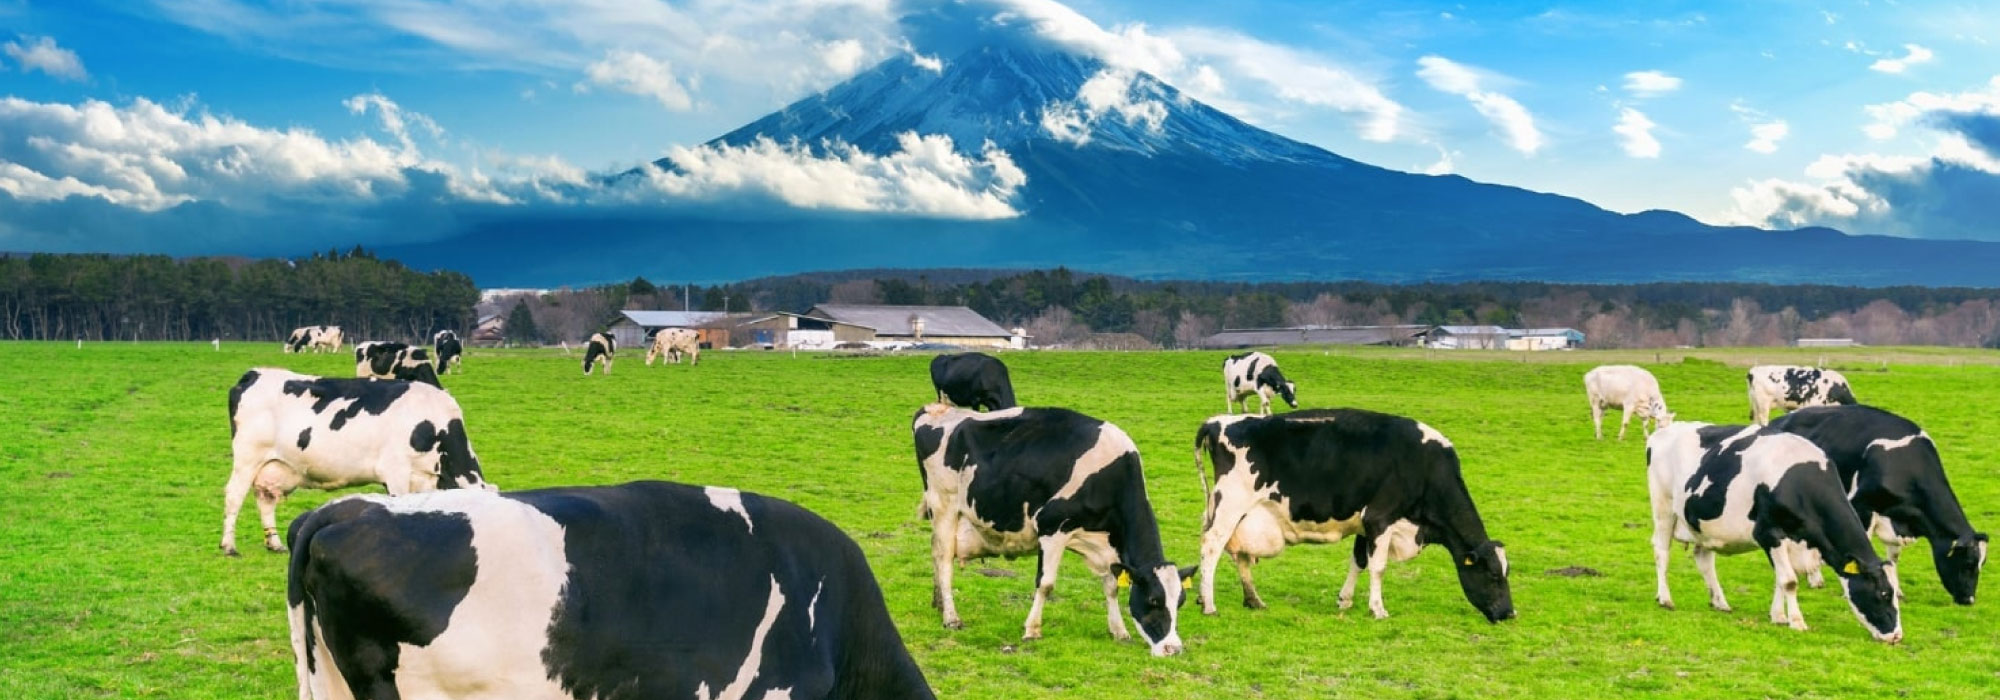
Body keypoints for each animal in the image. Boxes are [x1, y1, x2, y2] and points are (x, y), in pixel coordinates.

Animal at [222, 368, 491, 556]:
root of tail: (254, 374)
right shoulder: (396, 472)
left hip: (273, 465)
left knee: (265, 498)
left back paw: (274, 543)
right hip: (247, 458)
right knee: (234, 495)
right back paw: (229, 546)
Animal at [913, 404, 1191, 656]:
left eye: (1181, 602)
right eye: (1154, 600)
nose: (1173, 649)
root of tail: (936, 408)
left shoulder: (1108, 546)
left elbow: (1111, 586)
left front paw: (1119, 631)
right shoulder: (1052, 527)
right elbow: (1045, 584)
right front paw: (1032, 630)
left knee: (935, 552)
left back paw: (938, 603)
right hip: (944, 504)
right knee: (944, 559)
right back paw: (951, 617)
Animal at [1191, 410, 1515, 622]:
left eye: (1505, 572)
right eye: (1493, 575)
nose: (1510, 613)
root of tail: (1219, 421)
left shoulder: (1365, 524)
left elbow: (1359, 561)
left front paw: (1345, 600)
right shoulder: (1380, 518)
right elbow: (1378, 567)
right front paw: (1378, 609)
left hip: (1243, 515)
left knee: (1240, 555)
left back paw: (1253, 600)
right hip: (1230, 506)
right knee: (1212, 547)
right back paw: (1209, 604)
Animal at [1646, 422, 1901, 642]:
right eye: (1884, 594)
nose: (1897, 636)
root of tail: (1664, 431)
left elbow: (1781, 578)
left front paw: (1778, 617)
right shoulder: (1769, 534)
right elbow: (1788, 581)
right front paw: (1797, 621)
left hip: (1703, 526)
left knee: (1704, 560)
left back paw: (1720, 602)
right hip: (1663, 508)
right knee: (1661, 551)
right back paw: (1665, 598)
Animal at [1769, 405, 1989, 604]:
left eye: (1982, 564)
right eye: (1968, 563)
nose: (1969, 600)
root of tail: (1780, 420)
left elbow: (1893, 556)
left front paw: (1897, 591)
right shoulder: (1860, 505)